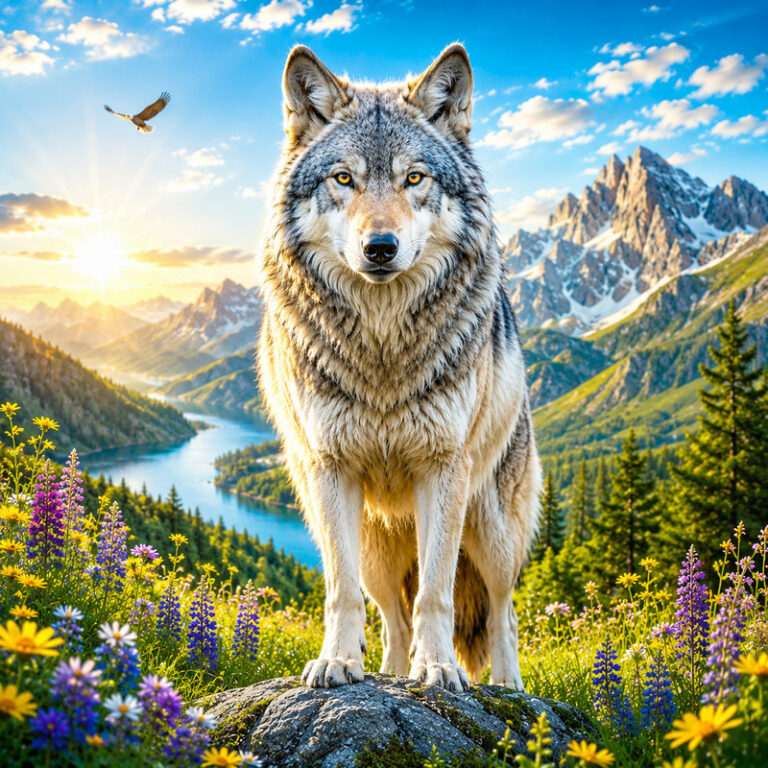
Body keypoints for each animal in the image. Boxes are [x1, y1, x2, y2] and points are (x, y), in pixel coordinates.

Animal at [256, 43, 541, 692]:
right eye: (344, 178)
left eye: (415, 178)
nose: (380, 248)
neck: (383, 346)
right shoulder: (330, 470)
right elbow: (341, 595)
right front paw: (337, 662)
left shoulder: (443, 469)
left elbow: (437, 594)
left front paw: (437, 670)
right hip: (373, 546)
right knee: (390, 615)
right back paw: (382, 672)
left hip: (491, 531)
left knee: (501, 610)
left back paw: (507, 686)